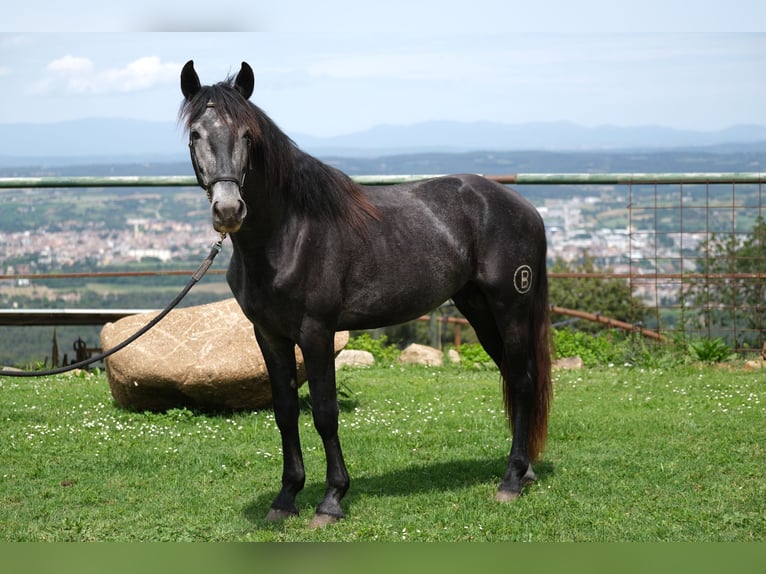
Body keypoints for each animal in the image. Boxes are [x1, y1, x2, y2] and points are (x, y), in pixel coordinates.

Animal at [180, 60, 552, 528]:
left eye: (248, 136)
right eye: (196, 134)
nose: (229, 210)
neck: (288, 233)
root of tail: (526, 208)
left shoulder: (316, 332)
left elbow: (324, 413)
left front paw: (331, 499)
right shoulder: (269, 336)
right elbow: (285, 411)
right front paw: (286, 498)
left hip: (511, 307)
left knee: (521, 380)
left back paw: (510, 481)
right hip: (479, 308)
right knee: (514, 376)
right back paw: (526, 471)